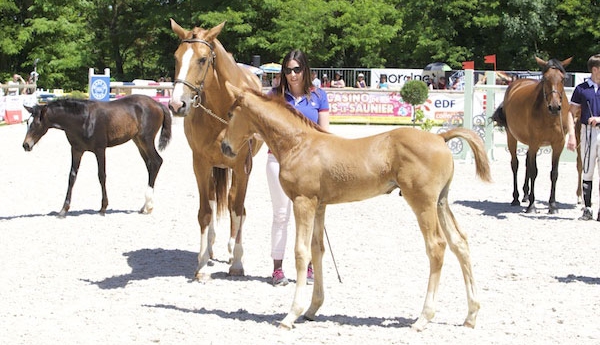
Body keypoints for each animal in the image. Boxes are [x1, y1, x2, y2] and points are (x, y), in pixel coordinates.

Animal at [21, 94, 171, 216]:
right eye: (27, 122)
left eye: (37, 123)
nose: (26, 145)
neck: (84, 119)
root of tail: (158, 104)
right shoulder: (76, 150)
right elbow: (72, 177)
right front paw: (63, 210)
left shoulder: (100, 149)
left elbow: (101, 176)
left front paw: (103, 208)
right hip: (138, 141)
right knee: (150, 164)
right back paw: (144, 206)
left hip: (146, 139)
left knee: (156, 161)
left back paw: (149, 206)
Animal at [168, 18, 264, 278]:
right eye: (176, 57)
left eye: (202, 59)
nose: (176, 104)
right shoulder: (200, 164)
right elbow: (205, 212)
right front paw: (201, 265)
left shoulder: (242, 167)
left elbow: (238, 209)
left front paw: (238, 262)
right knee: (212, 199)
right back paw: (209, 247)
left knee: (232, 204)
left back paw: (232, 250)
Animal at [220, 83, 492, 330]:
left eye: (231, 114)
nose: (224, 146)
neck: (298, 144)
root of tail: (439, 137)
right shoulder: (319, 205)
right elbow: (317, 250)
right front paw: (312, 309)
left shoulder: (303, 201)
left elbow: (300, 252)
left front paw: (291, 315)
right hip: (441, 202)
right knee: (459, 243)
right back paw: (471, 315)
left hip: (423, 202)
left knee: (436, 246)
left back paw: (423, 318)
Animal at [494, 56, 576, 212]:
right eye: (545, 78)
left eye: (563, 79)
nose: (554, 107)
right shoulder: (534, 143)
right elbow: (534, 172)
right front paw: (532, 205)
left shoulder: (558, 144)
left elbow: (554, 173)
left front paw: (552, 205)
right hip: (512, 137)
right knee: (515, 164)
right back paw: (516, 198)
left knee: (526, 162)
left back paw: (525, 195)